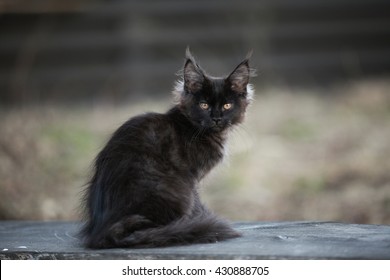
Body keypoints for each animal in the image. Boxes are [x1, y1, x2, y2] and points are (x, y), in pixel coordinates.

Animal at [80, 49, 254, 248]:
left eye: (227, 105)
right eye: (204, 105)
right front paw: (200, 219)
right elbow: (196, 204)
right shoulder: (191, 179)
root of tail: (103, 230)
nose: (216, 118)